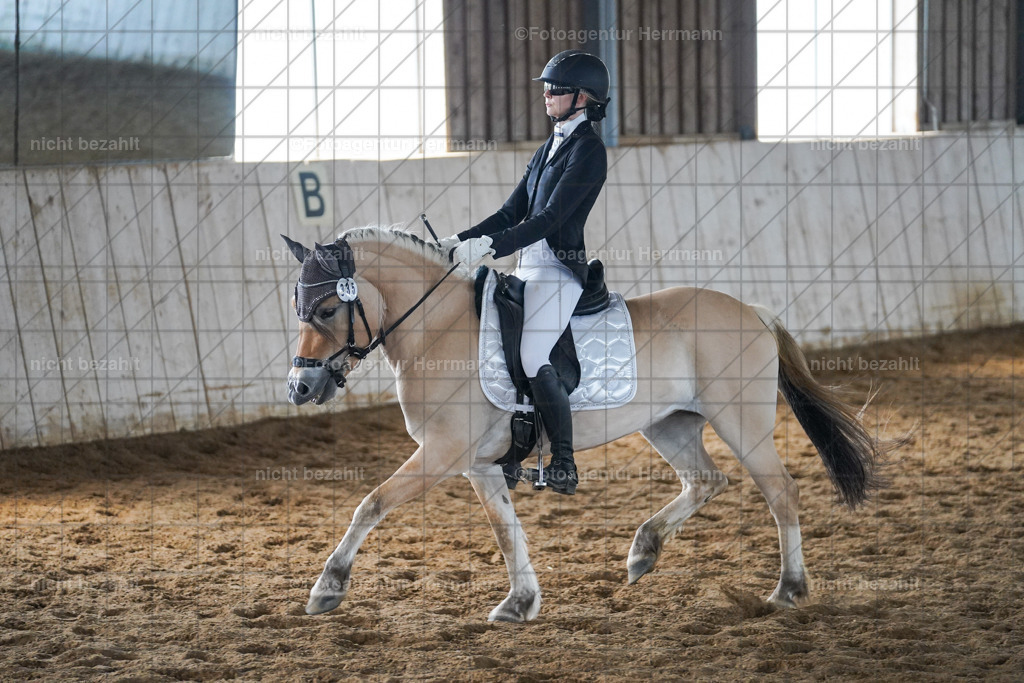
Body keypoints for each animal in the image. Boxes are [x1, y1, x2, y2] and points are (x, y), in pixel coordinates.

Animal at [284, 226, 901, 623]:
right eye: (300, 309)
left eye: (329, 310)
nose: (300, 389)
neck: (438, 328)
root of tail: (752, 312)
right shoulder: (478, 465)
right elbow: (505, 532)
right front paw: (520, 603)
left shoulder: (441, 453)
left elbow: (371, 505)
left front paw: (327, 589)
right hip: (670, 425)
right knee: (707, 480)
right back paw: (643, 551)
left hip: (741, 424)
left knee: (781, 492)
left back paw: (788, 592)